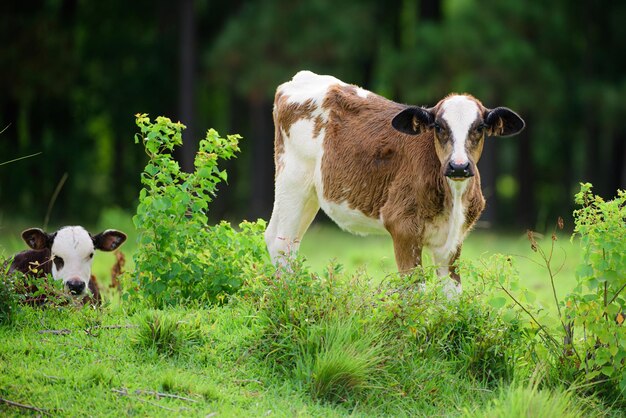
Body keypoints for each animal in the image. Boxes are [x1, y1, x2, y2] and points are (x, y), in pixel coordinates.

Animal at [264, 70, 520, 294]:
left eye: (480, 128)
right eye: (438, 127)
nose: (459, 166)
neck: (453, 197)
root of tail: (302, 78)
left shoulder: (453, 240)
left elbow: (453, 297)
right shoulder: (403, 227)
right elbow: (415, 292)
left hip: (310, 194)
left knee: (289, 242)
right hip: (292, 180)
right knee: (281, 242)